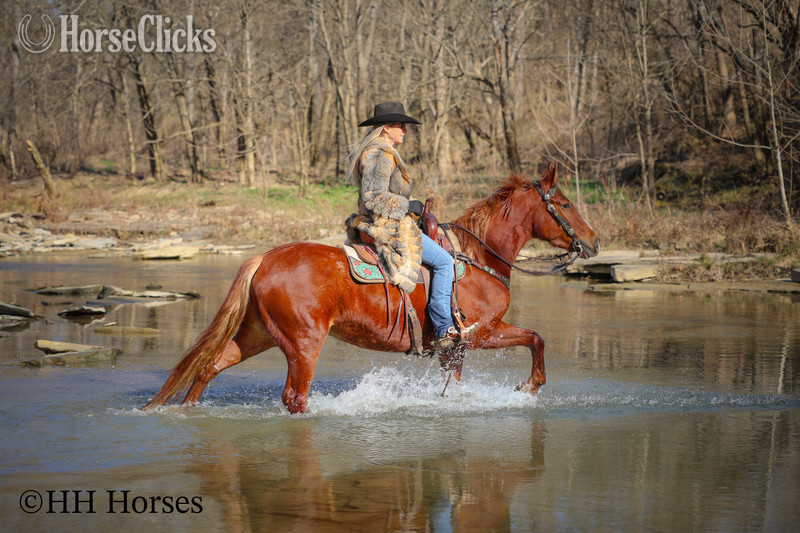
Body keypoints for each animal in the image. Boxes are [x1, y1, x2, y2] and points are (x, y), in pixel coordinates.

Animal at [143, 163, 599, 414]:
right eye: (566, 204)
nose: (594, 241)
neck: (476, 257)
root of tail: (264, 259)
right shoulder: (479, 332)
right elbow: (536, 338)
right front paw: (530, 386)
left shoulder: (455, 348)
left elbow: (456, 385)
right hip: (303, 344)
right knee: (294, 397)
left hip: (257, 334)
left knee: (209, 367)